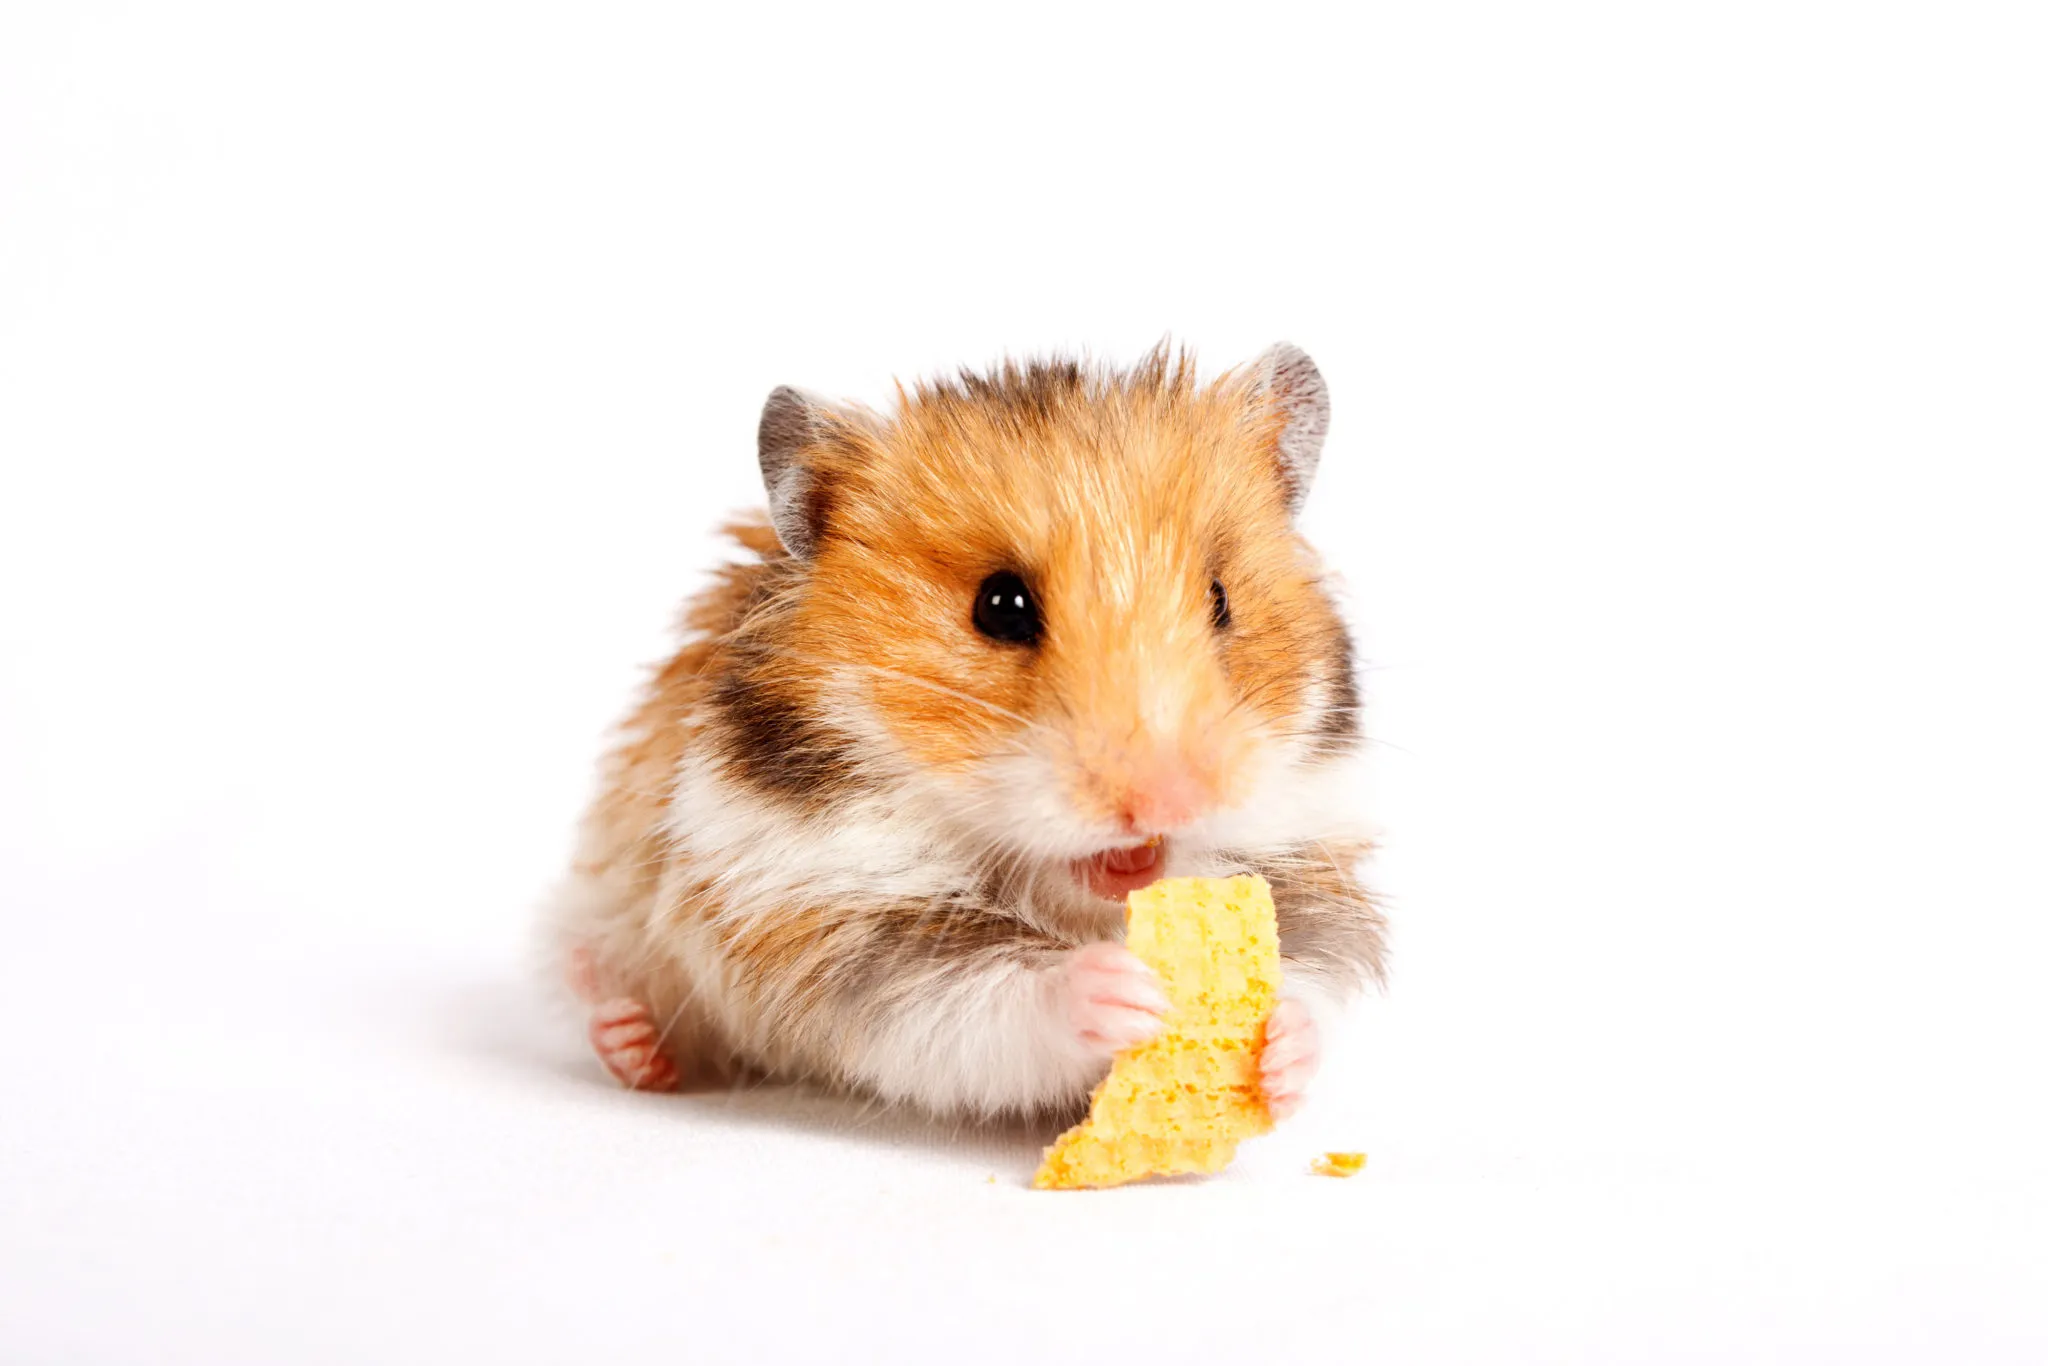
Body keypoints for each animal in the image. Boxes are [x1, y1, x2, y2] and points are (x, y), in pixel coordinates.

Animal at [544, 343, 1384, 1120]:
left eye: (1219, 599)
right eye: (1000, 607)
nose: (1168, 803)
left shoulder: (1308, 873)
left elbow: (1314, 982)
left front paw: (1282, 1047)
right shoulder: (838, 928)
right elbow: (987, 999)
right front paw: (1122, 991)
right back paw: (628, 1038)